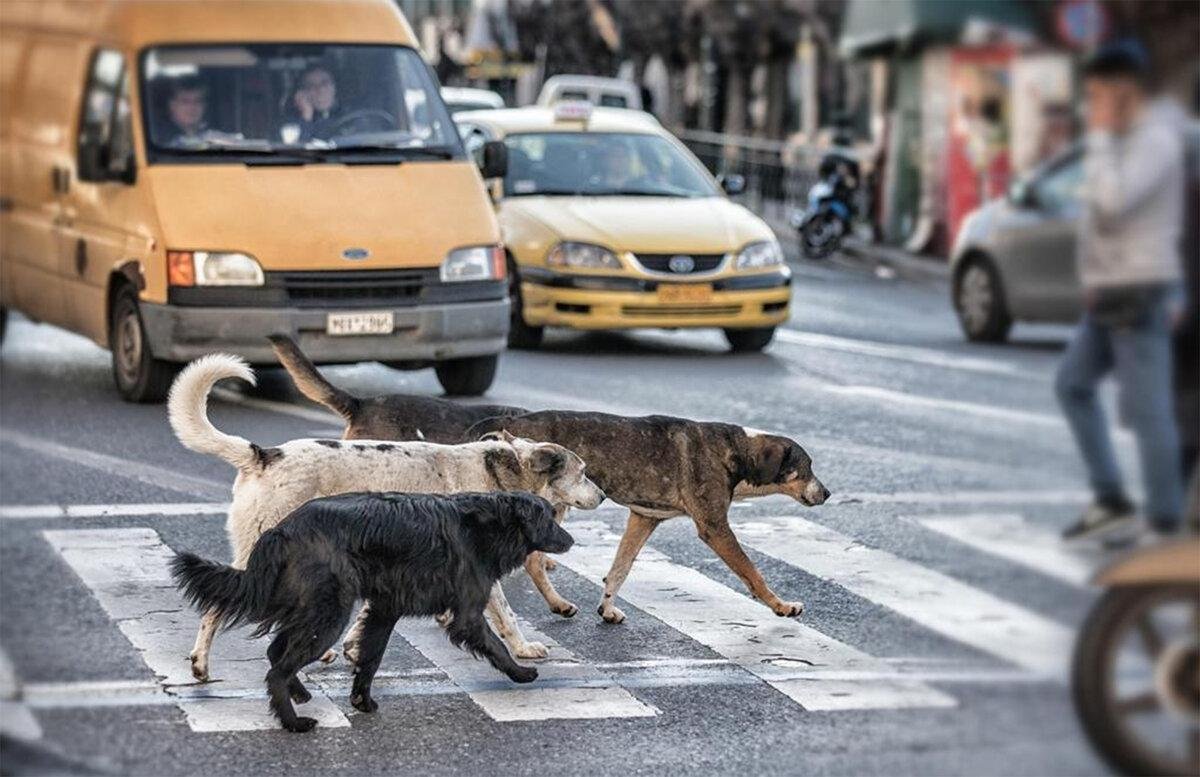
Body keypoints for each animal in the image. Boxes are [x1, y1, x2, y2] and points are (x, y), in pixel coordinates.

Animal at [164, 352, 604, 681]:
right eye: (583, 472)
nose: (602, 495)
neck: (503, 475)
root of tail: (263, 455)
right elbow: (507, 616)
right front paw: (523, 648)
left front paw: (353, 647)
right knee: (218, 606)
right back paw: (201, 664)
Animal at [170, 491, 576, 733]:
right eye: (549, 517)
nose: (572, 540)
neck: (489, 523)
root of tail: (280, 529)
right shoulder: (468, 614)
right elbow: (496, 645)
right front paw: (521, 673)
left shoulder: (384, 609)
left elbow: (371, 658)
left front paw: (361, 701)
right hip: (329, 614)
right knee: (276, 669)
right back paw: (293, 721)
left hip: (314, 609)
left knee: (275, 652)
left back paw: (299, 694)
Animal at [270, 333, 835, 623]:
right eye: (807, 467)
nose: (828, 492)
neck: (735, 451)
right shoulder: (714, 526)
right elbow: (751, 571)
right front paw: (780, 604)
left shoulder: (643, 518)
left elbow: (620, 569)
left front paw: (608, 607)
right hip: (551, 504)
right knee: (533, 561)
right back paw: (554, 600)